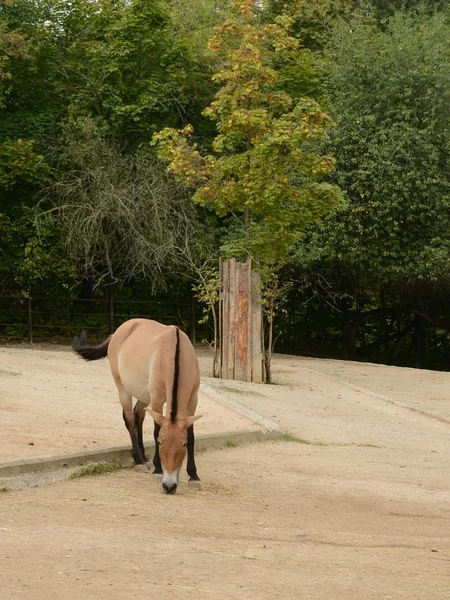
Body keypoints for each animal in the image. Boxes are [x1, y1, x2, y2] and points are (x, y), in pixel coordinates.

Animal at [72, 316, 202, 494]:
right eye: (160, 443)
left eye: (182, 444)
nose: (169, 486)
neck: (173, 352)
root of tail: (117, 333)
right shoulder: (157, 399)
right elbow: (155, 431)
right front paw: (158, 470)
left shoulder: (192, 400)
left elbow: (191, 436)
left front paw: (193, 475)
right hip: (123, 389)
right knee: (129, 418)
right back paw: (139, 460)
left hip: (143, 395)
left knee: (138, 415)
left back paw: (144, 458)